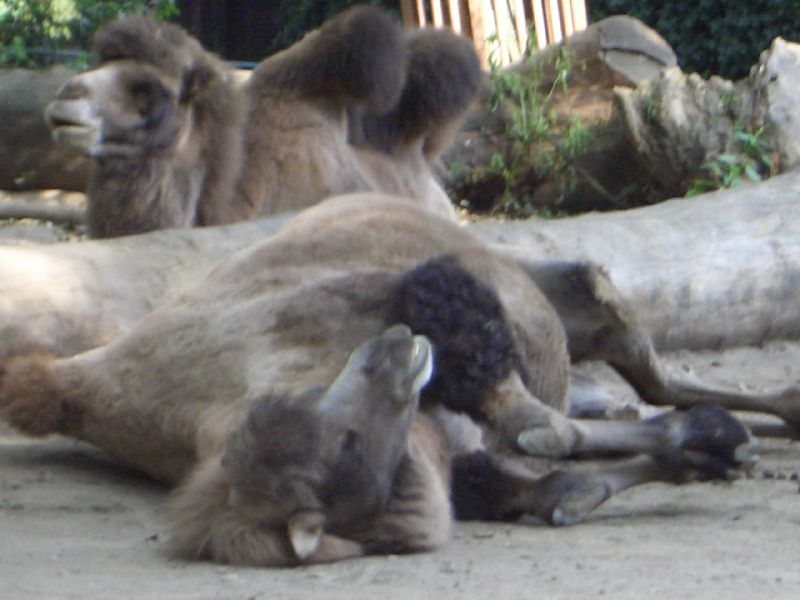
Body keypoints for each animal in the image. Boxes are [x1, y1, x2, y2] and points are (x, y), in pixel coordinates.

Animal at [0, 197, 756, 568]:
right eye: (349, 452)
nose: (393, 353)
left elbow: (526, 410)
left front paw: (711, 442)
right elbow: (536, 455)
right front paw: (701, 447)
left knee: (608, 325)